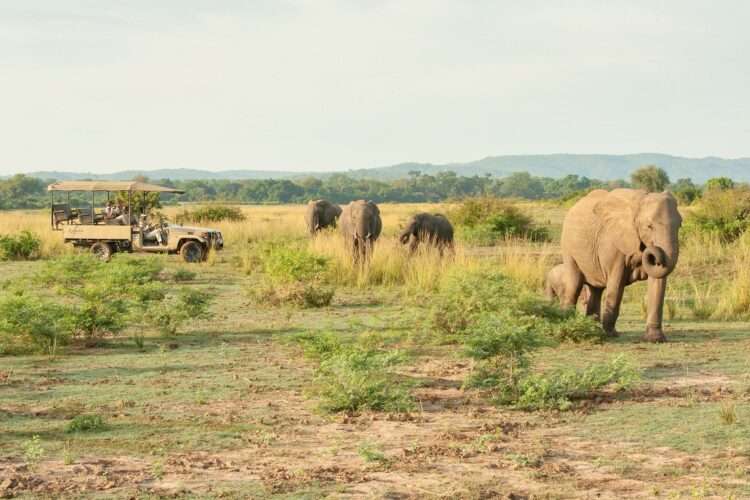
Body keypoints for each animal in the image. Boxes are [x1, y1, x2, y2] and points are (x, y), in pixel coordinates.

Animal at [560, 189, 684, 342]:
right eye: (649, 226)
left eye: (680, 225)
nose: (651, 252)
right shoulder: (613, 243)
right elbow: (617, 283)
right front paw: (610, 334)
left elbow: (658, 282)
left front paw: (655, 339)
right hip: (568, 248)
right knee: (574, 284)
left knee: (596, 290)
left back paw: (593, 329)